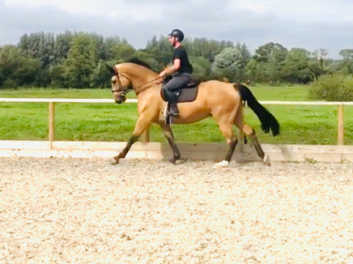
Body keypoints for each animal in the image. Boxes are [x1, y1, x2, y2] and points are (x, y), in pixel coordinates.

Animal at [108, 60, 280, 166]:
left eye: (114, 81)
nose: (118, 99)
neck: (149, 87)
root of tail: (232, 86)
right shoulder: (163, 122)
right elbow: (170, 138)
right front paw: (176, 158)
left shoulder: (145, 118)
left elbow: (133, 137)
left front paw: (117, 157)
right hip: (236, 117)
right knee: (250, 131)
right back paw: (264, 158)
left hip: (223, 120)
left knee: (232, 140)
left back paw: (224, 163)